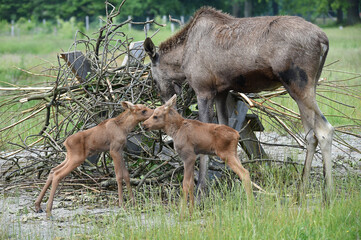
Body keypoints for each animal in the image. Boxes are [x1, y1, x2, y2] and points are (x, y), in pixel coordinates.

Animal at [142, 6, 334, 201]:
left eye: (154, 79)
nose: (167, 103)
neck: (181, 59)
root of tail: (324, 40)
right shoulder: (222, 92)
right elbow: (224, 130)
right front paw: (229, 180)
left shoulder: (204, 90)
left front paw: (201, 189)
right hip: (309, 85)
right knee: (311, 135)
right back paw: (302, 189)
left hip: (298, 84)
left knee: (324, 129)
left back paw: (327, 192)